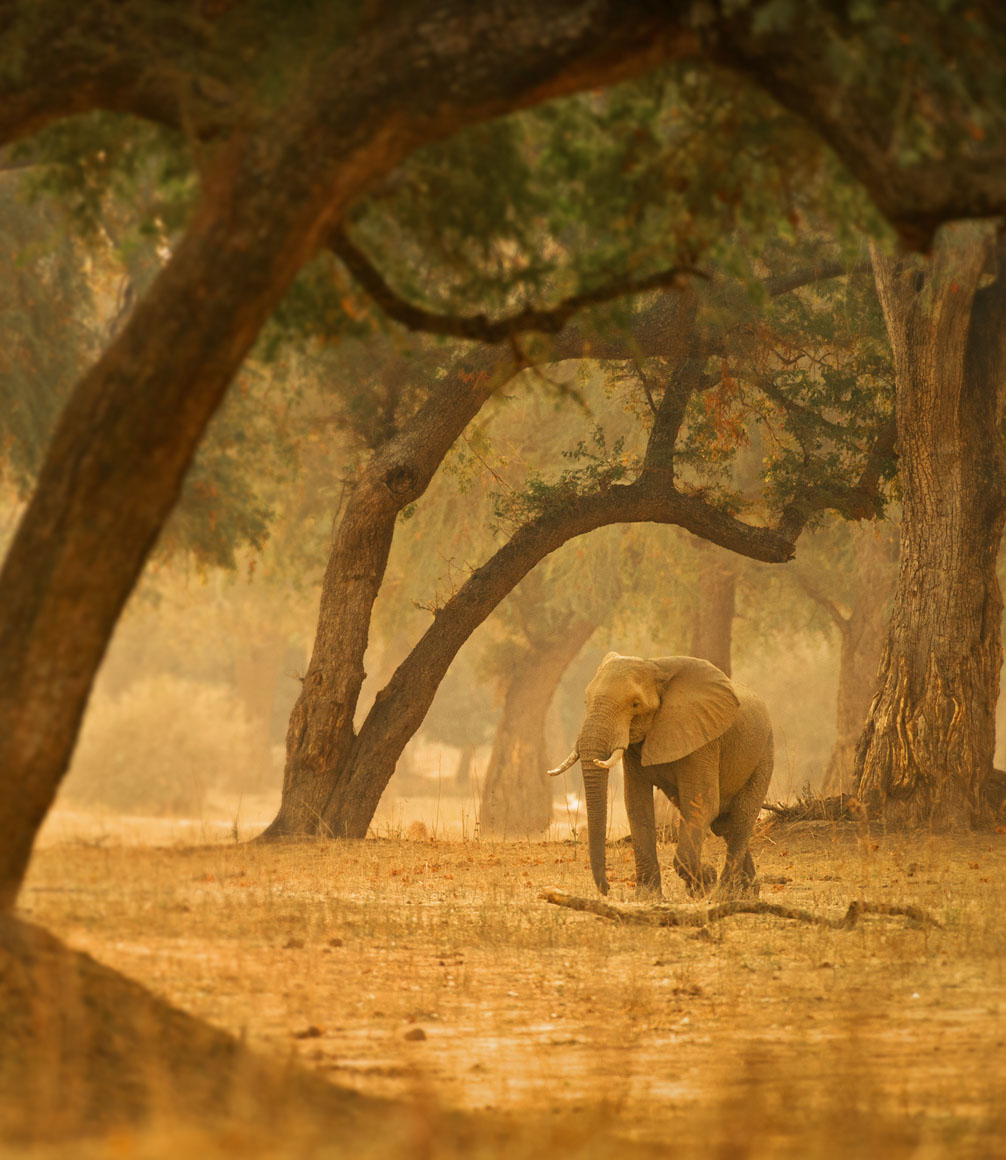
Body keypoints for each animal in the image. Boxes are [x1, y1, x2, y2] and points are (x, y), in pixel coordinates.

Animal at [549, 652, 773, 899]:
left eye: (635, 704)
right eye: (585, 701)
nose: (607, 889)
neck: (655, 667)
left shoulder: (702, 739)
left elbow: (703, 803)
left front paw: (705, 881)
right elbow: (637, 804)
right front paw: (648, 896)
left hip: (763, 753)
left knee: (741, 817)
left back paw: (725, 893)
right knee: (725, 825)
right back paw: (747, 892)